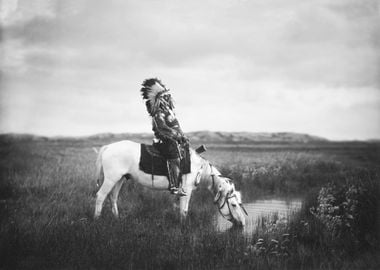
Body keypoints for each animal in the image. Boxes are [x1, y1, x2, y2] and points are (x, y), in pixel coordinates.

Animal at [94, 139, 248, 226]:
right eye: (234, 204)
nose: (242, 223)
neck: (199, 168)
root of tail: (108, 147)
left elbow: (180, 209)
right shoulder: (187, 190)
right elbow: (184, 210)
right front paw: (183, 227)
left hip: (119, 179)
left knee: (113, 197)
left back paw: (117, 219)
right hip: (111, 179)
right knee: (100, 196)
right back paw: (97, 220)